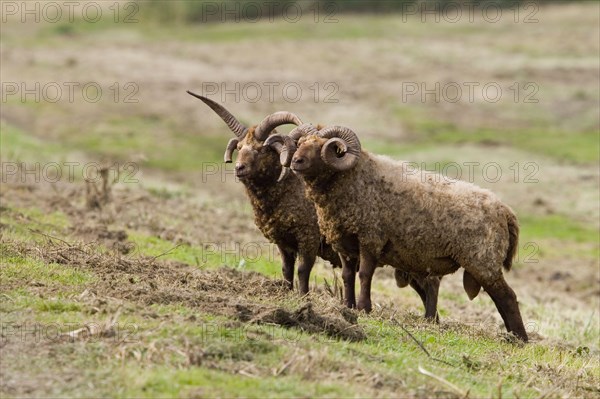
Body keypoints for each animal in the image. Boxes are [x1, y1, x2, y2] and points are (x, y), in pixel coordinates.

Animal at [278, 126, 528, 342]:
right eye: (299, 143)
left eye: (321, 147)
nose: (296, 161)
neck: (354, 180)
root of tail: (506, 212)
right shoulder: (344, 243)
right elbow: (348, 276)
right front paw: (348, 306)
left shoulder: (371, 239)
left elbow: (365, 275)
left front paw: (364, 308)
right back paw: (512, 336)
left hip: (483, 260)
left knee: (507, 297)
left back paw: (520, 339)